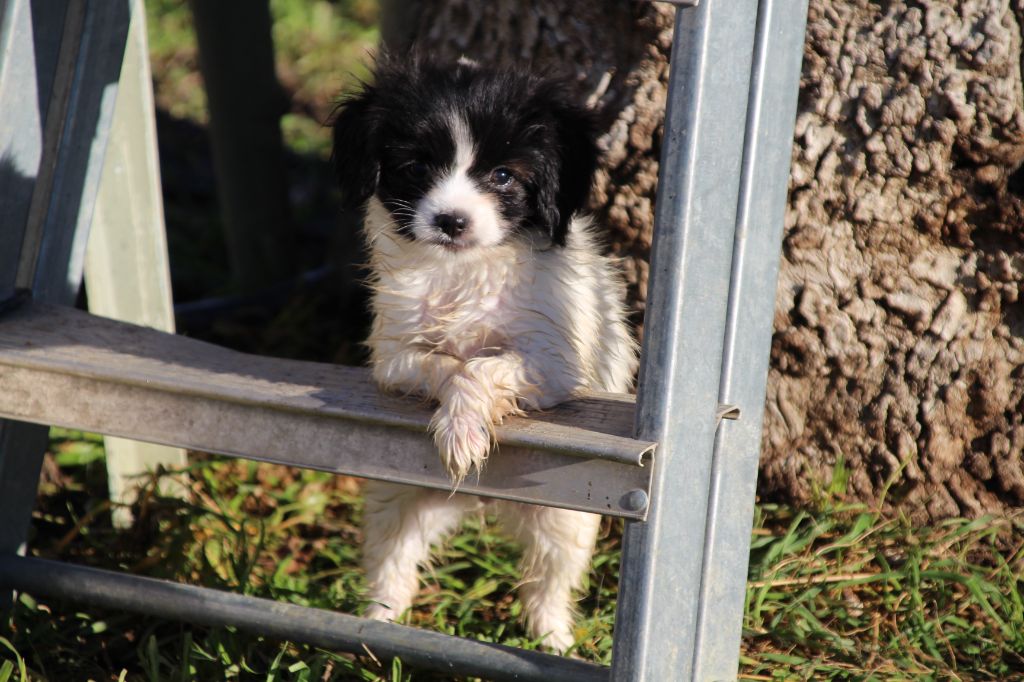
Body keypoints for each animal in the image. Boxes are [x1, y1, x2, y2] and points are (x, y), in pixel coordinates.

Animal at [331, 57, 634, 647]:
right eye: (416, 167)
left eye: (503, 176)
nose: (451, 221)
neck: (463, 271)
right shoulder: (394, 356)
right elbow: (449, 363)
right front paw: (460, 430)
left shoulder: (553, 363)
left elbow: (483, 365)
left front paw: (465, 427)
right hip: (397, 502)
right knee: (393, 564)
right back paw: (376, 626)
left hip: (563, 523)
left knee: (547, 586)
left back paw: (554, 640)